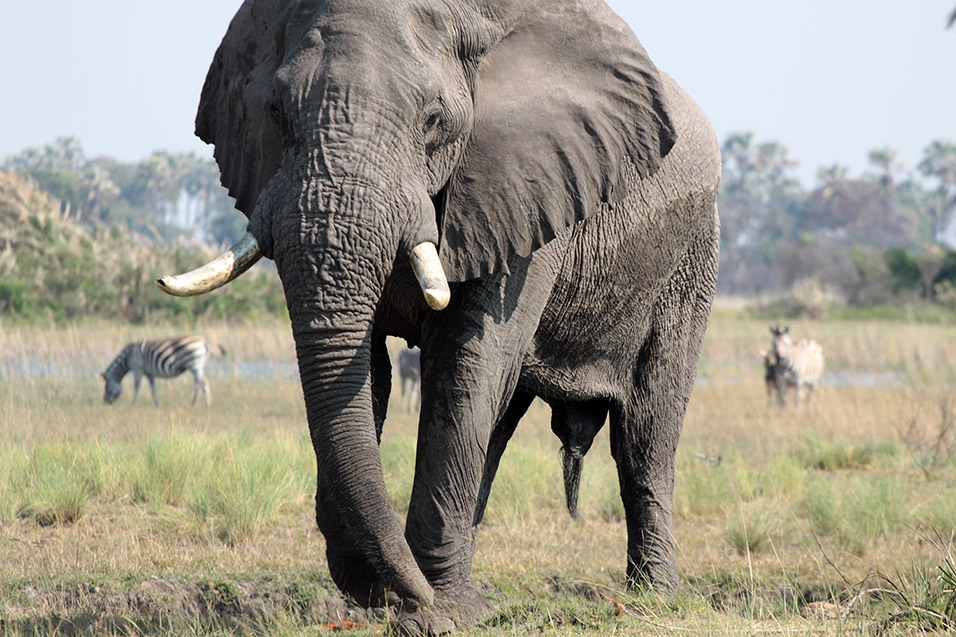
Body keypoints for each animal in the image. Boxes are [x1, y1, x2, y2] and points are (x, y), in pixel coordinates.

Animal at [159, 0, 716, 628]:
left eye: (434, 121)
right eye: (275, 113)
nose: (392, 595)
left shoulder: (523, 190)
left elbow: (467, 361)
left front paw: (432, 616)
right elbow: (367, 371)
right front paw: (404, 598)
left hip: (689, 259)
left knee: (645, 433)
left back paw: (653, 597)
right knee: (500, 423)